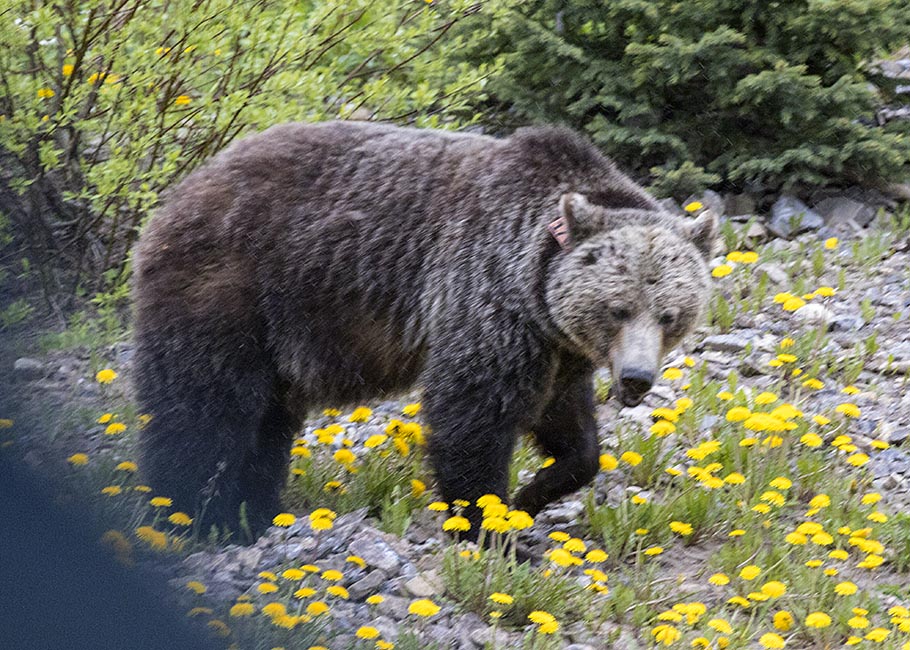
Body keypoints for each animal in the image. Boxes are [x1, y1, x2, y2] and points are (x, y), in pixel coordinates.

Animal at [134, 119, 720, 536]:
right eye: (618, 307)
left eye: (669, 314)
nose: (637, 378)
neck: (534, 282)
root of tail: (178, 192)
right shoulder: (486, 297)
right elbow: (473, 411)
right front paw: (488, 523)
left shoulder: (554, 346)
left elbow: (567, 425)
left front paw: (534, 492)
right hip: (231, 289)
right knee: (204, 406)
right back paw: (186, 511)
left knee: (268, 422)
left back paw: (252, 510)